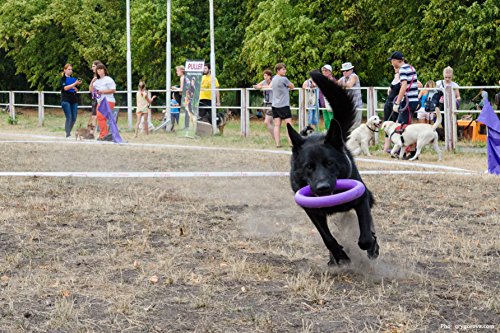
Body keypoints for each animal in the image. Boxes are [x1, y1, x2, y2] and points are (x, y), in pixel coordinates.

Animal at [286, 70, 378, 264]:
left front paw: (372, 246)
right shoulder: (313, 212)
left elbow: (365, 236)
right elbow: (327, 238)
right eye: (308, 167)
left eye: (329, 163)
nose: (323, 188)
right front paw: (340, 256)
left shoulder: (362, 198)